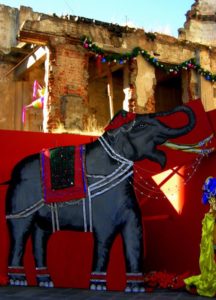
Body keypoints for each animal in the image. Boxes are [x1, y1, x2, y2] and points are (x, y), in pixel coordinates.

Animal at [3, 105, 196, 290]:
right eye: (141, 125)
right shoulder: (103, 210)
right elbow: (105, 236)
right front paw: (98, 285)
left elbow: (135, 234)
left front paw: (136, 288)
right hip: (20, 201)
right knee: (19, 233)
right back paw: (18, 280)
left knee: (40, 235)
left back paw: (46, 282)